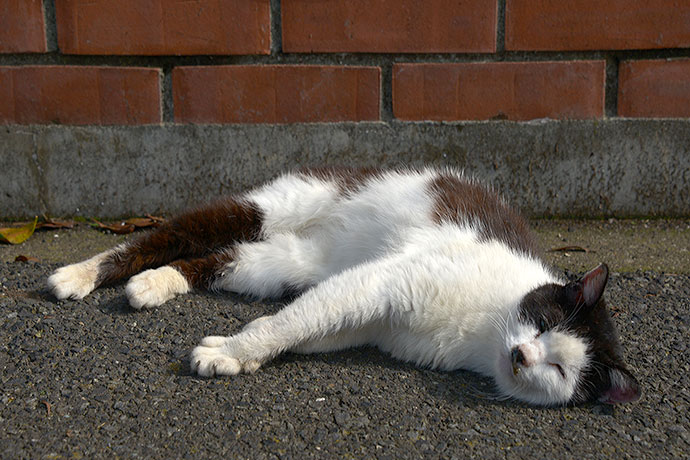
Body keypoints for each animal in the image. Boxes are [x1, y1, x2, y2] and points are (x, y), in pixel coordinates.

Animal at [48, 167, 640, 404]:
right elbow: (289, 322)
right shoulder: (385, 281)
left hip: (286, 263)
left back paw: (154, 284)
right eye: (542, 322)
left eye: (558, 370)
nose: (522, 356)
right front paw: (233, 351)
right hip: (279, 203)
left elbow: (305, 325)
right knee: (168, 234)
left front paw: (236, 354)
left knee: (216, 260)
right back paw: (79, 275)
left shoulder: (372, 321)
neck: (485, 329)